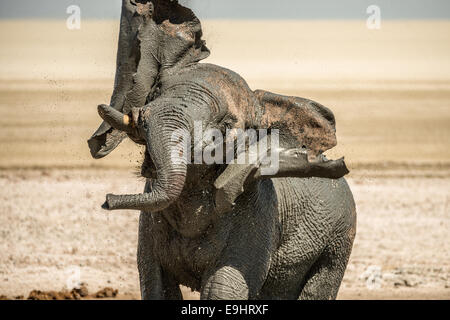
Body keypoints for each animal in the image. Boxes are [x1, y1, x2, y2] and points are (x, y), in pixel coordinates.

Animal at [88, 0, 356, 300]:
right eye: (155, 91)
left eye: (225, 126)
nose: (108, 200)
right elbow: (157, 283)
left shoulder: (257, 209)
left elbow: (223, 288)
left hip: (338, 237)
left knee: (318, 286)